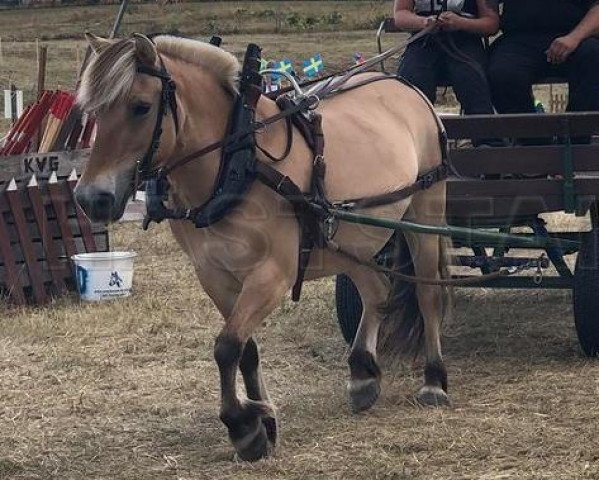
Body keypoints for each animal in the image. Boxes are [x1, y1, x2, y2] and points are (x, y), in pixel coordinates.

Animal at [74, 33, 450, 462]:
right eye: (92, 113)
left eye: (140, 107)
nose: (91, 199)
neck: (236, 163)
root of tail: (404, 86)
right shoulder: (214, 275)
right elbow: (245, 348)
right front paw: (261, 422)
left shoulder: (272, 274)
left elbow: (226, 346)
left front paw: (241, 425)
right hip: (350, 237)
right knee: (376, 291)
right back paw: (362, 373)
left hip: (425, 211)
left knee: (427, 295)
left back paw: (434, 380)